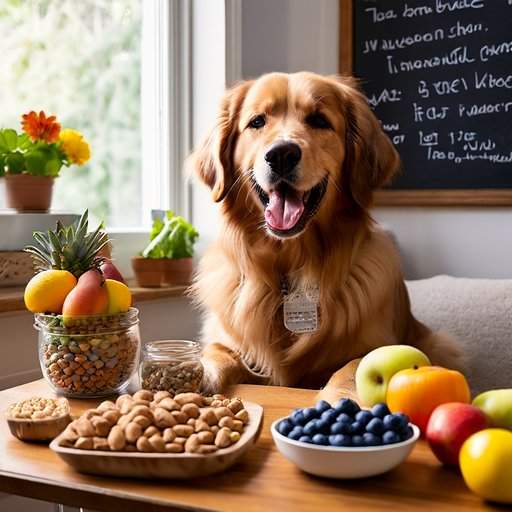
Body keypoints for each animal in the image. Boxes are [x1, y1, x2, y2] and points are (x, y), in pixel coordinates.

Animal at [189, 70, 464, 402]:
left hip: (440, 344)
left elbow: (353, 366)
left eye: (319, 120)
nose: (281, 154)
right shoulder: (229, 339)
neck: (290, 266)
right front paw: (195, 371)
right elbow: (216, 350)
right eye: (257, 121)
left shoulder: (377, 344)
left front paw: (338, 401)